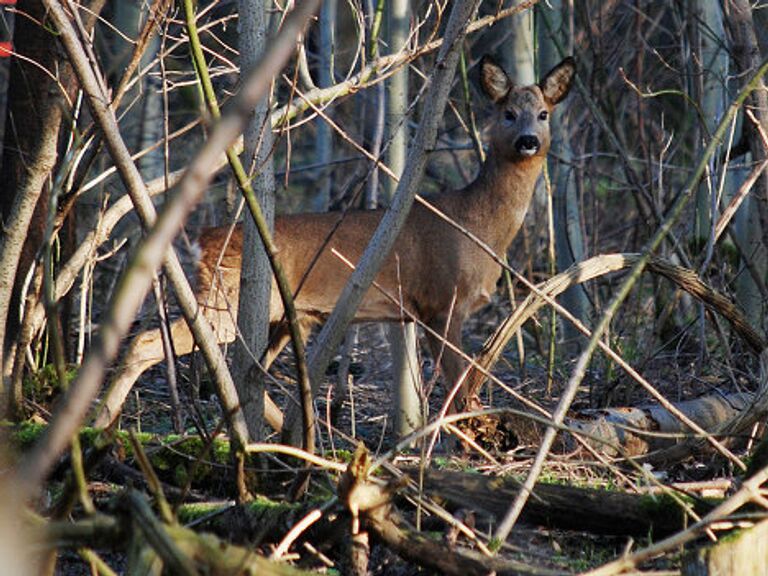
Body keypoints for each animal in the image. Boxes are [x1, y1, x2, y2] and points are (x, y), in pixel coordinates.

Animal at [94, 56, 576, 432]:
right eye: (508, 112)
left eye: (544, 114)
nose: (528, 141)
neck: (476, 225)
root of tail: (205, 239)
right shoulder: (442, 301)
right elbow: (458, 390)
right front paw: (469, 445)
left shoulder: (420, 310)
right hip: (226, 301)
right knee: (148, 343)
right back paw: (101, 421)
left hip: (283, 316)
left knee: (245, 373)